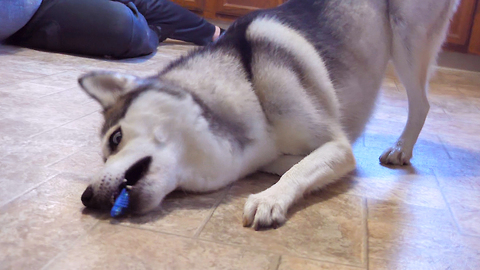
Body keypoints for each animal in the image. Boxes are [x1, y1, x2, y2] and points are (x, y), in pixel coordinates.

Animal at [79, 0, 462, 230]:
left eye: (115, 138)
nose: (87, 197)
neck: (245, 90)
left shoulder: (338, 147)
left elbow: (300, 168)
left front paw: (270, 198)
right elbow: (284, 163)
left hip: (407, 39)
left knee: (422, 102)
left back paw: (402, 148)